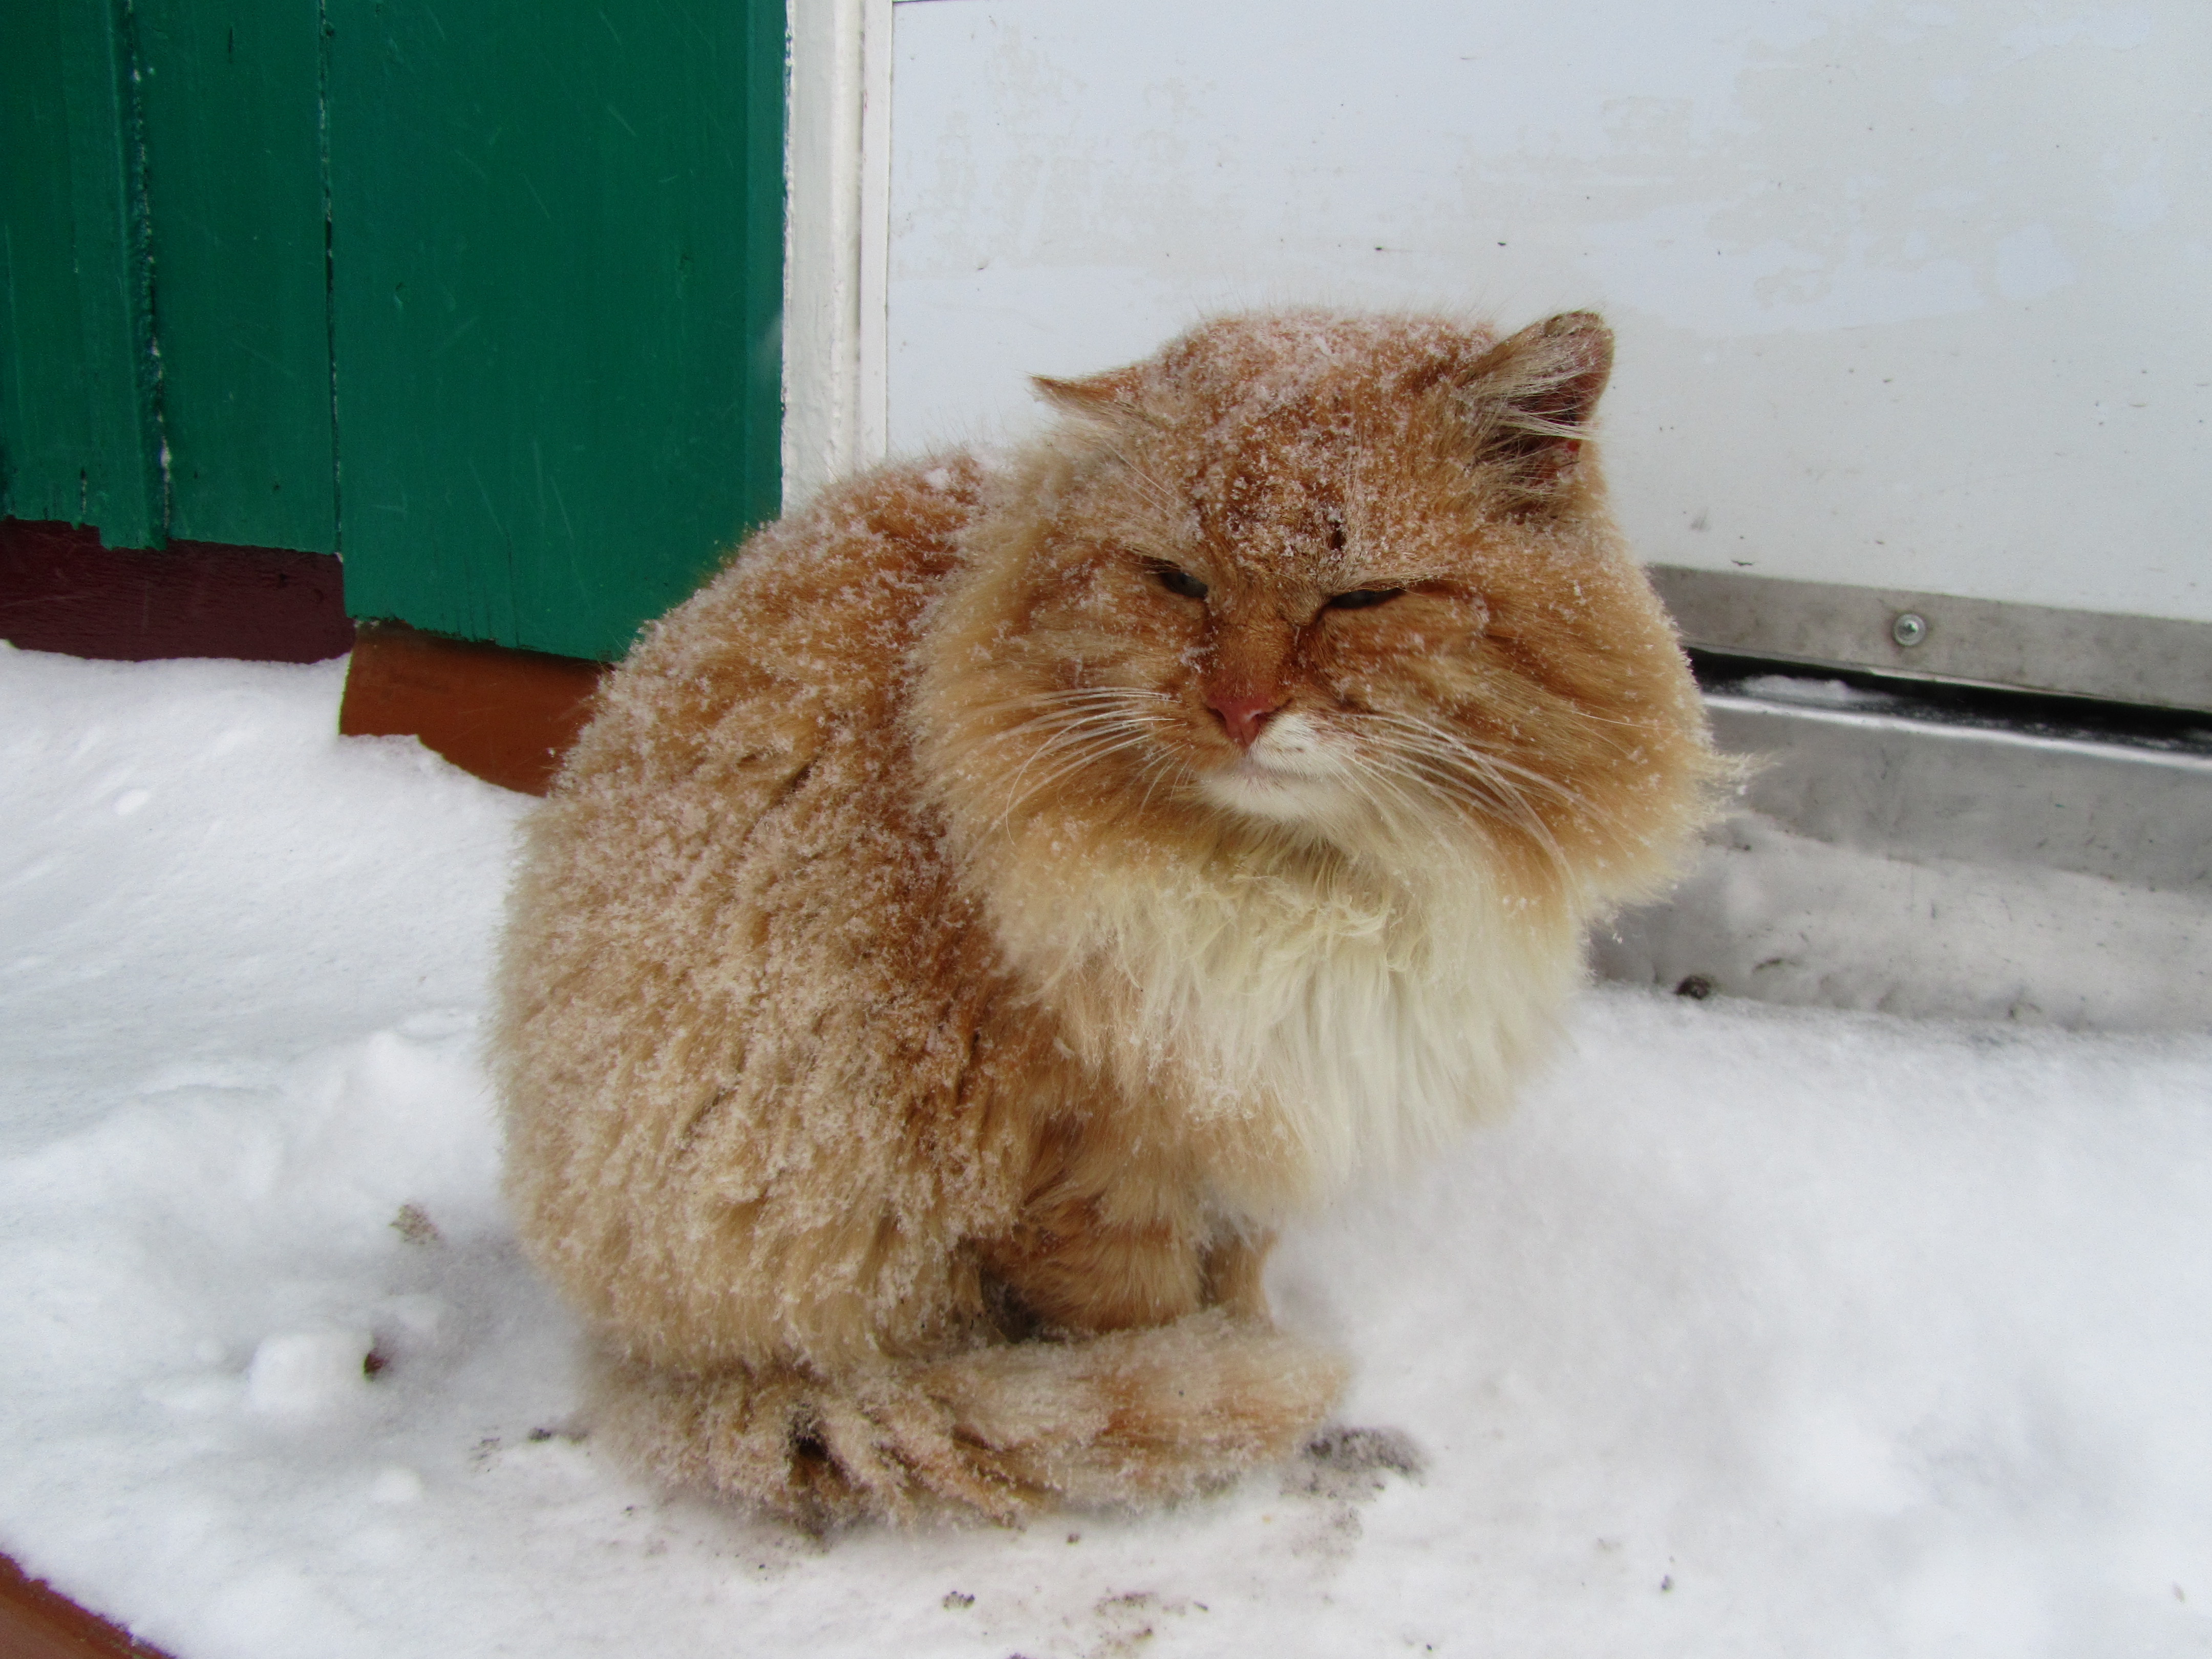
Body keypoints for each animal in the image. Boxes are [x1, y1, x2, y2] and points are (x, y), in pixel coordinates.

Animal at [493, 305, 1716, 1530]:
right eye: (1177, 583)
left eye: (1359, 599)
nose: (1240, 710)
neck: (1302, 885)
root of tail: (630, 1356)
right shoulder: (1101, 1166)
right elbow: (1150, 1334)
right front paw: (1212, 1411)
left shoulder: (1248, 1115)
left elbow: (1237, 1285)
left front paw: (1244, 1346)